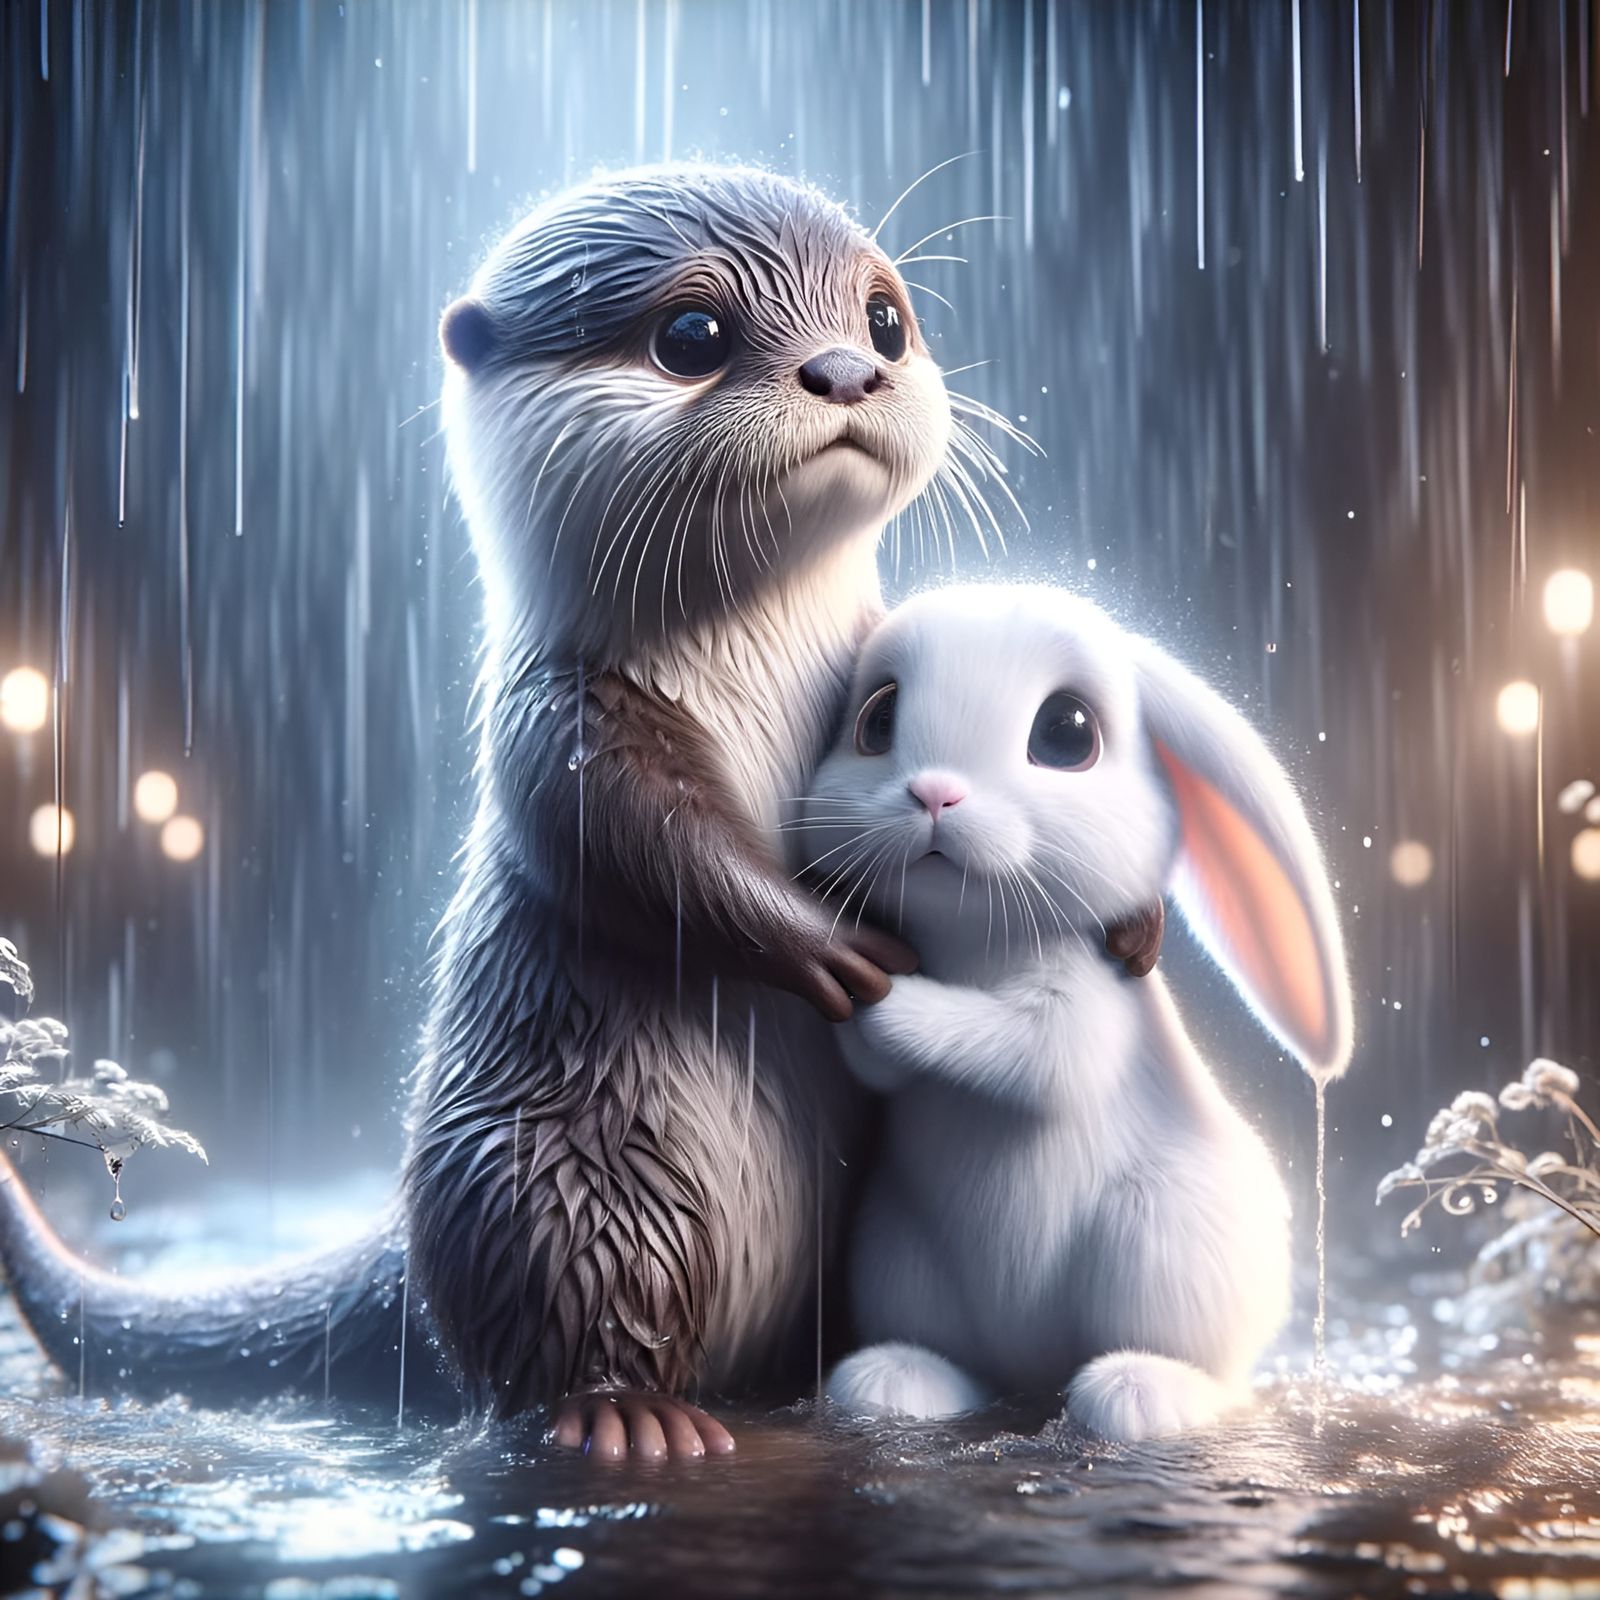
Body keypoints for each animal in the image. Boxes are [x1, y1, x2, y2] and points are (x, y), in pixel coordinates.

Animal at [798, 583, 1353, 1443]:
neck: (975, 943)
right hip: (901, 1256)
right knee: (959, 1357)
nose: (933, 793)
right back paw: (897, 1381)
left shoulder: (1083, 1012)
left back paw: (1142, 1394)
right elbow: (886, 1069)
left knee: (1205, 1371)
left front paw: (889, 1001)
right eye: (877, 721)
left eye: (1067, 734)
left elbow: (1025, 1051)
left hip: (1164, 1241)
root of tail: (1034, 1366)